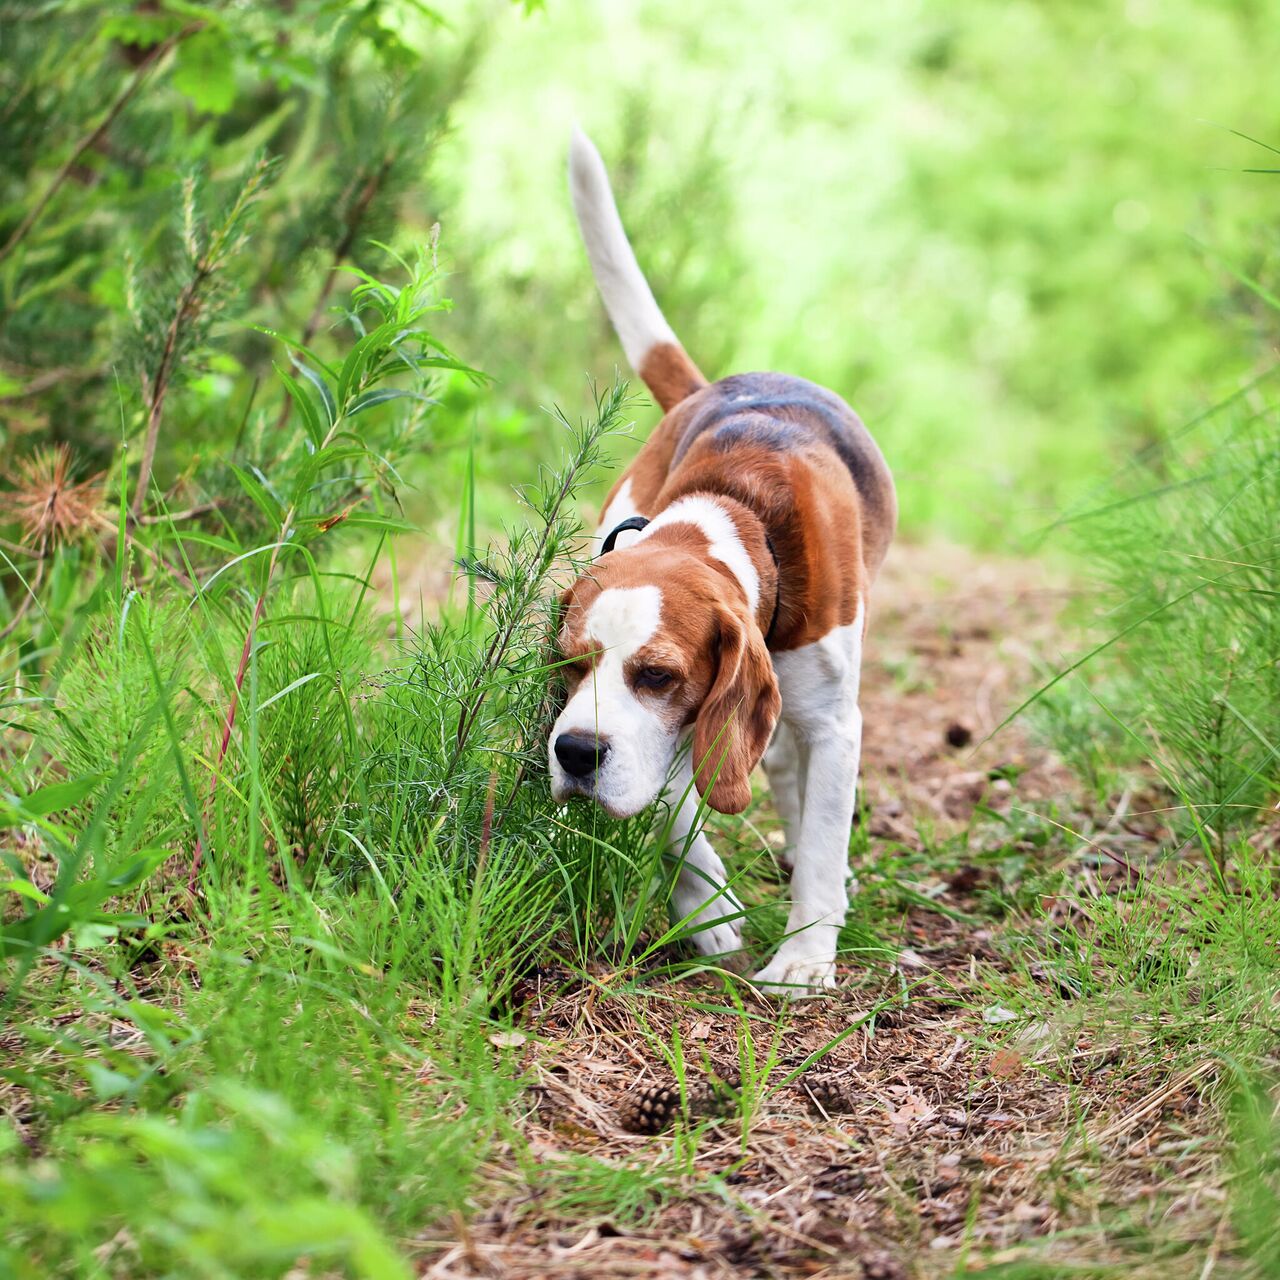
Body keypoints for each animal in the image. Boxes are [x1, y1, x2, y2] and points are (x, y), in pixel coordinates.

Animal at [550, 129, 901, 993]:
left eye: (657, 674)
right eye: (568, 667)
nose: (573, 753)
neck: (732, 514)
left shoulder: (834, 720)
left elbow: (821, 840)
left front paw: (804, 958)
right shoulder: (683, 730)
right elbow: (676, 809)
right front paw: (708, 912)